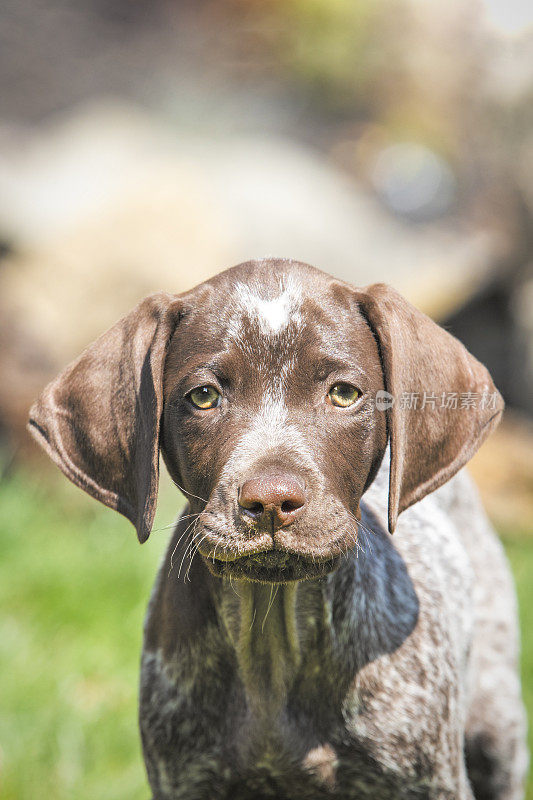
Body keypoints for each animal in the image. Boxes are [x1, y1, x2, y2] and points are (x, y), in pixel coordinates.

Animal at [28, 260, 524, 796]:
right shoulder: (185, 778)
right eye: (204, 396)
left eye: (344, 394)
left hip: (496, 725)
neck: (271, 643)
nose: (270, 501)